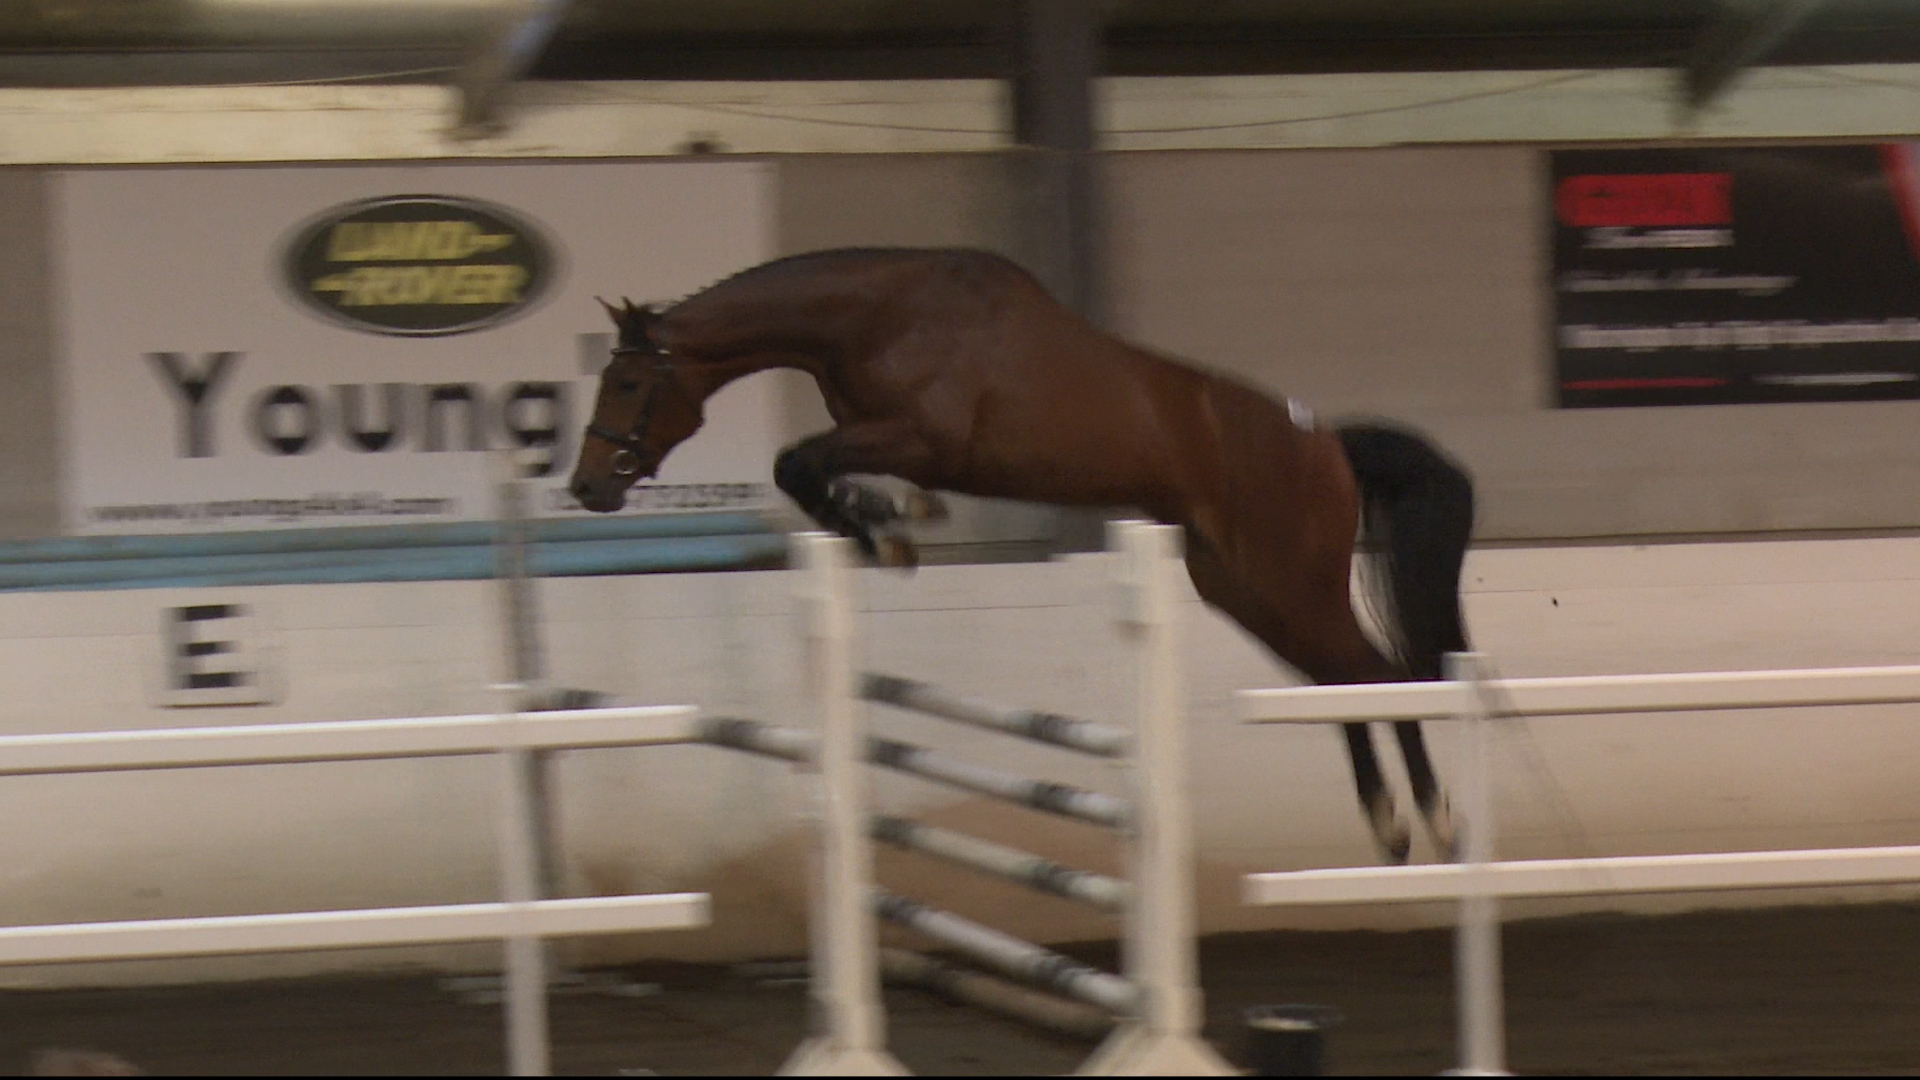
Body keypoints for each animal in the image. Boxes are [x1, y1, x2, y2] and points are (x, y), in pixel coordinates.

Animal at [567, 247, 1474, 863]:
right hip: (1243, 587)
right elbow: (809, 467)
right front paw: (886, 523)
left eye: (627, 384)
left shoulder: (920, 438)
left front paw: (886, 529)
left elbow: (797, 460)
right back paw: (1389, 823)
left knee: (1373, 672)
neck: (877, 313)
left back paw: (1433, 818)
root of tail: (1330, 446)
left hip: (1295, 579)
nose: (587, 487)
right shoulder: (883, 437)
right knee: (1335, 680)